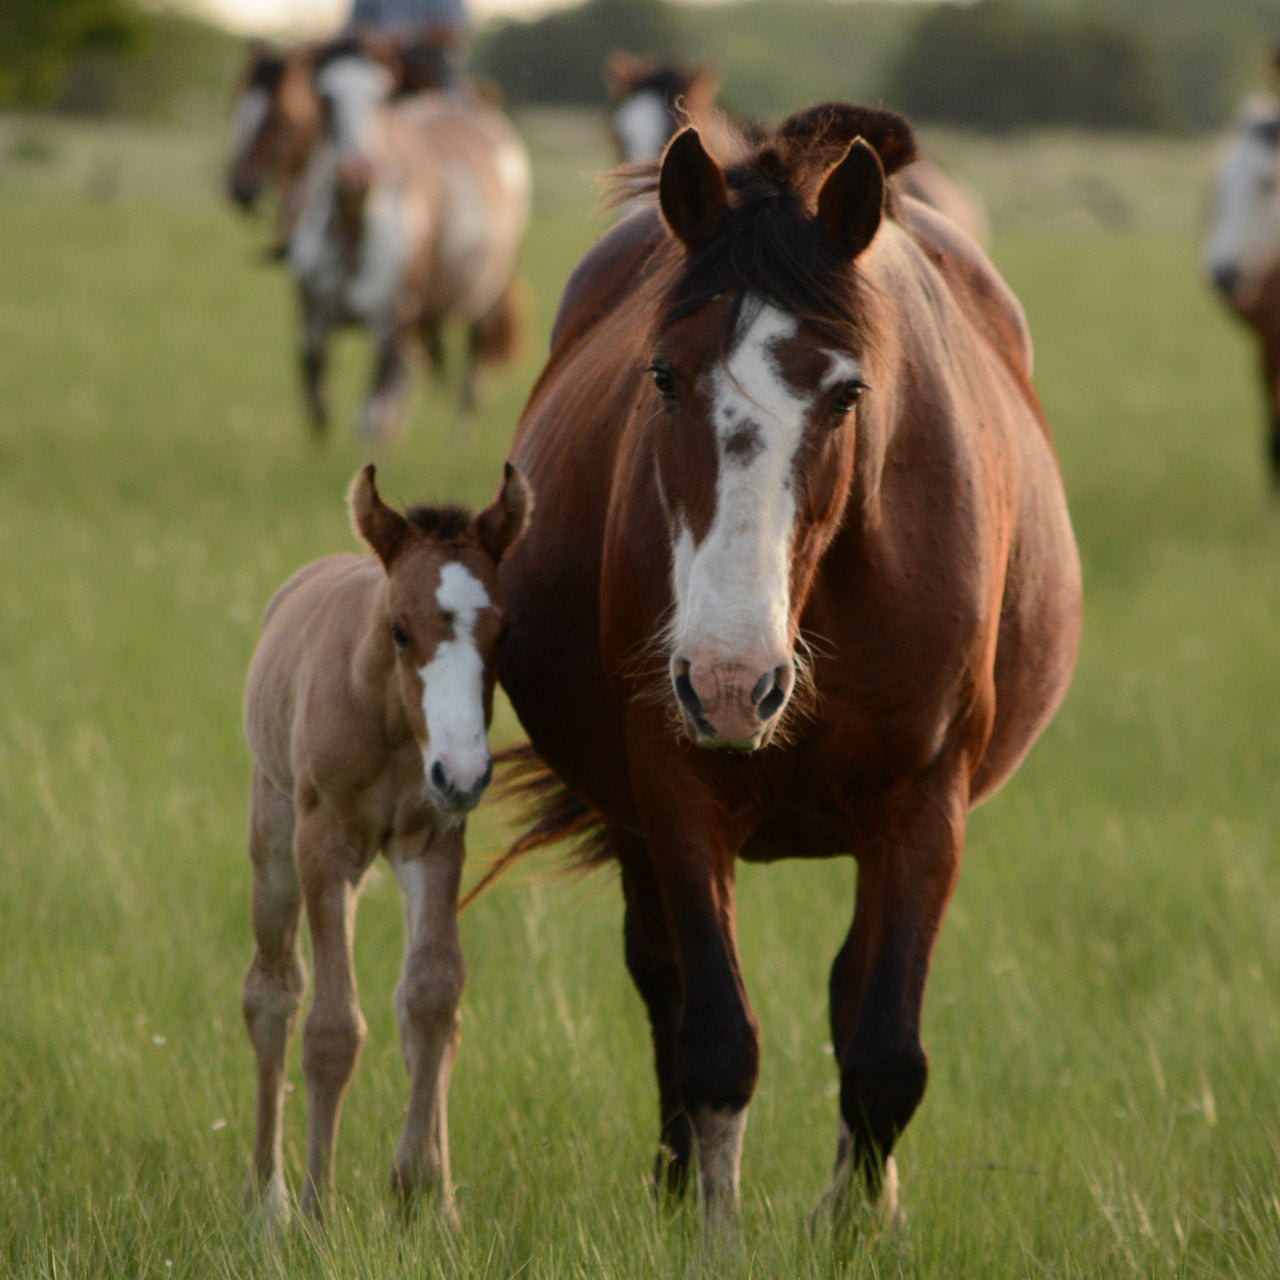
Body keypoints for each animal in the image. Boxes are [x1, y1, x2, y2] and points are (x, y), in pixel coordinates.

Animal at [240, 460, 529, 1218]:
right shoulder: (323, 850)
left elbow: (431, 996)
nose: (464, 770)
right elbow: (331, 1028)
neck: (394, 725)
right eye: (400, 629)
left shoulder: (436, 841)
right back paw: (268, 1198)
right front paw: (317, 1209)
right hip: (274, 843)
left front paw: (424, 1194)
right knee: (272, 992)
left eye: (504, 631)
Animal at [286, 41, 529, 440]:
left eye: (381, 98)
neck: (353, 235)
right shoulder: (312, 322)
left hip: (485, 302)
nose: (357, 174)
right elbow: (319, 405)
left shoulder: (390, 326)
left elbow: (372, 416)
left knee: (470, 384)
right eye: (324, 98)